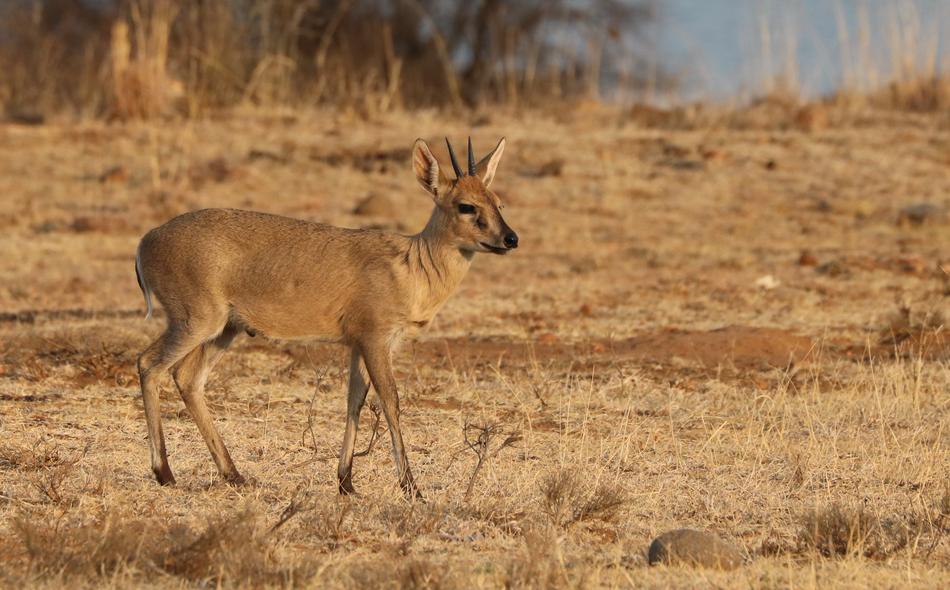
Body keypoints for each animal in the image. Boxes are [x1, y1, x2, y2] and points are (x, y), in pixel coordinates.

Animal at [134, 137, 517, 498]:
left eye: (498, 202)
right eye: (466, 206)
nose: (510, 239)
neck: (411, 266)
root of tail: (145, 241)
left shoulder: (360, 344)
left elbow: (355, 401)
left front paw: (346, 481)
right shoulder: (375, 339)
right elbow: (390, 401)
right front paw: (412, 488)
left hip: (225, 330)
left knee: (187, 378)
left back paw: (234, 475)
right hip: (195, 322)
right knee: (148, 364)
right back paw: (164, 473)